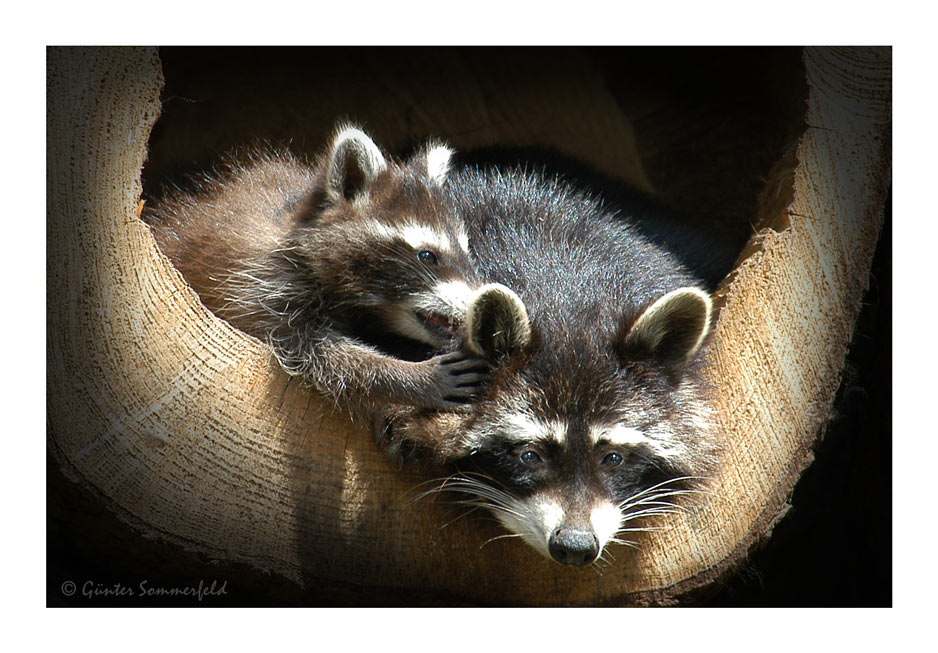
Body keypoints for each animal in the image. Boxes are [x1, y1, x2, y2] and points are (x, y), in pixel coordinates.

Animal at [146, 125, 490, 416]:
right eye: (428, 256)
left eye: (466, 251)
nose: (483, 303)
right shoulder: (262, 285)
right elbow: (323, 359)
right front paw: (411, 378)